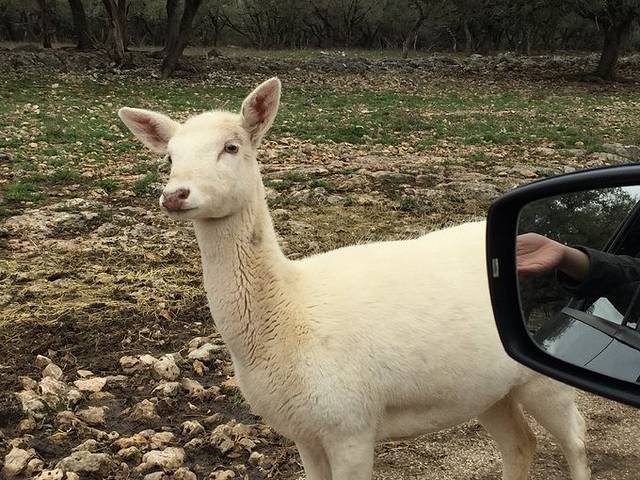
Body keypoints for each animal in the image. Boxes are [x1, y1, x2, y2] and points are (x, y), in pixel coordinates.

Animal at [118, 77, 591, 480]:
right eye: (169, 157)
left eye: (231, 147)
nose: (174, 195)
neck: (288, 316)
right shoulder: (305, 432)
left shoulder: (351, 423)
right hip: (486, 390)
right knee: (521, 444)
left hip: (545, 372)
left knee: (576, 438)